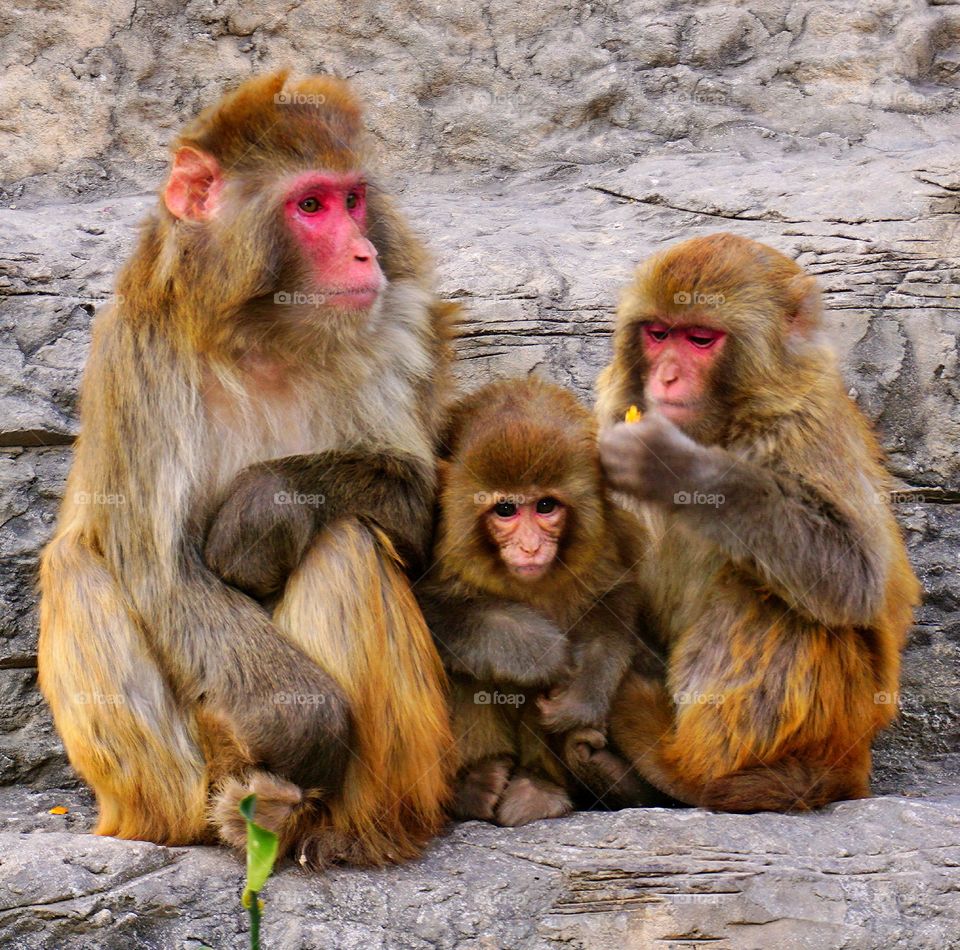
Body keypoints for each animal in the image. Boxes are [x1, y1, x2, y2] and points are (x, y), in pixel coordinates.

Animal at [37, 71, 458, 868]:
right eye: (311, 206)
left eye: (353, 199)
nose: (366, 254)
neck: (263, 335)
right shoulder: (140, 351)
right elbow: (161, 568)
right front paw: (308, 726)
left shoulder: (398, 324)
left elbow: (423, 515)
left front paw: (262, 509)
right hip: (186, 769)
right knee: (78, 564)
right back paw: (216, 816)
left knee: (346, 540)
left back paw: (326, 828)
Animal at [418, 377, 657, 826]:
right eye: (506, 509)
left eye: (545, 506)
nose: (530, 547)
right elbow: (425, 603)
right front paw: (532, 648)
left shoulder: (606, 539)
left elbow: (615, 598)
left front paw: (582, 694)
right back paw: (477, 783)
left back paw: (543, 785)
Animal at [594, 232, 921, 812]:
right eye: (658, 334)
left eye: (700, 339)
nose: (666, 377)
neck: (719, 425)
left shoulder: (805, 422)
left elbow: (853, 575)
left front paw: (675, 467)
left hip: (843, 721)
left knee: (776, 602)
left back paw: (687, 769)